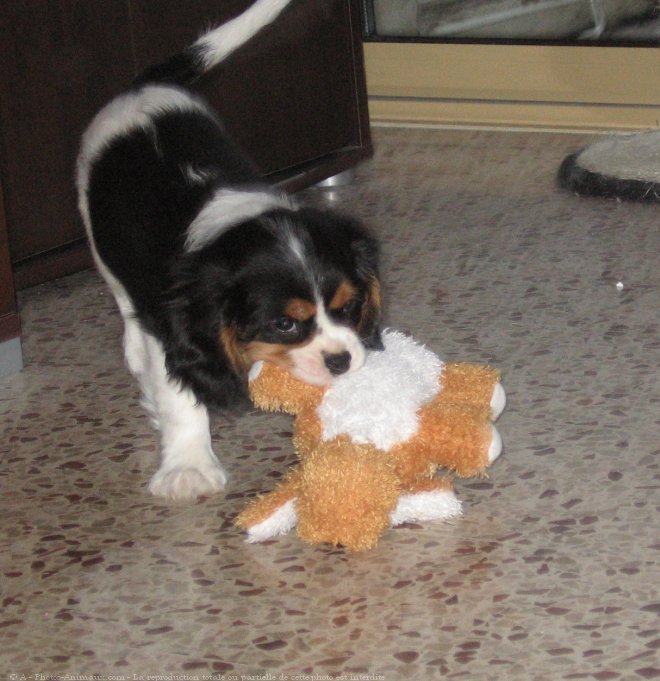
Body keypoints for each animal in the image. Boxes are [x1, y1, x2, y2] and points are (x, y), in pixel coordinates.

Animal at [76, 0, 384, 500]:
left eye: (351, 307)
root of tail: (145, 85)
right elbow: (179, 394)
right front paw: (188, 467)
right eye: (284, 324)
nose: (341, 361)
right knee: (120, 292)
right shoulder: (173, 326)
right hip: (94, 220)